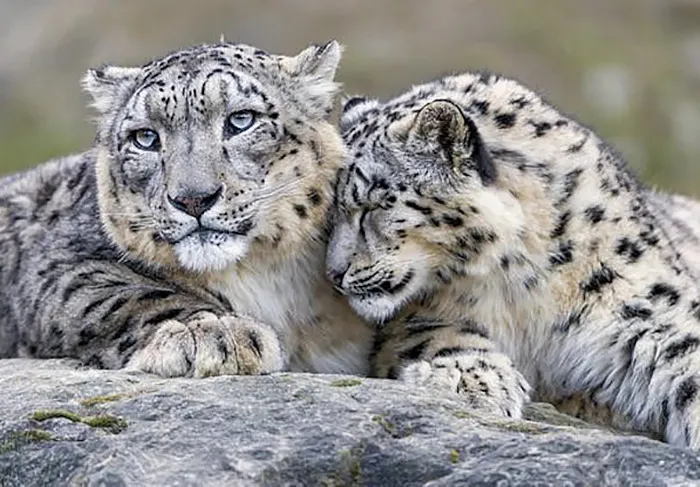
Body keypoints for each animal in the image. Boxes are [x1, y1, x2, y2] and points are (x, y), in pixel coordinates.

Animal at [0, 40, 373, 378]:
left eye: (241, 120)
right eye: (145, 137)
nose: (193, 198)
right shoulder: (57, 264)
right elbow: (128, 295)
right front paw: (216, 333)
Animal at [327, 70, 700, 448]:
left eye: (373, 206)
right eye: (331, 213)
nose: (334, 274)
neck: (525, 283)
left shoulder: (650, 307)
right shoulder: (416, 316)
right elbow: (435, 334)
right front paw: (471, 380)